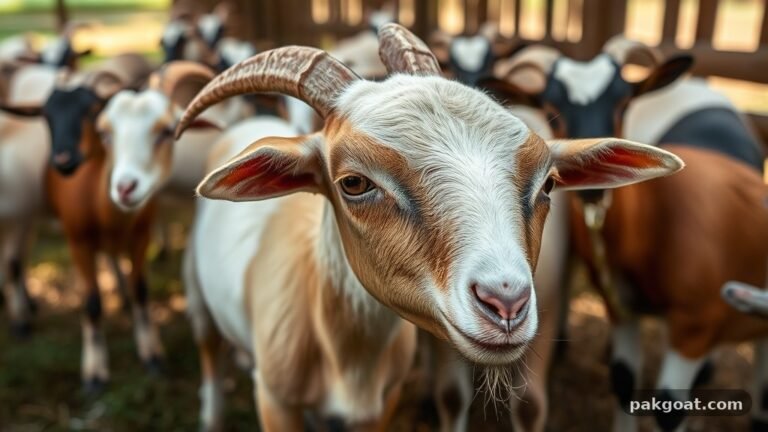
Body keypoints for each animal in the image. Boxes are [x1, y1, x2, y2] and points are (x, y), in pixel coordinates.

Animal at [175, 24, 683, 431]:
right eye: (353, 183)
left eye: (549, 183)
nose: (506, 303)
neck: (346, 353)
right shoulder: (276, 402)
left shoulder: (381, 405)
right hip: (197, 293)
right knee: (206, 344)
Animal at [482, 36, 768, 431]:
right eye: (552, 107)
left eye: (623, 102)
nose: (591, 180)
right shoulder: (622, 310)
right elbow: (622, 381)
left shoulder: (694, 324)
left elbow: (669, 407)